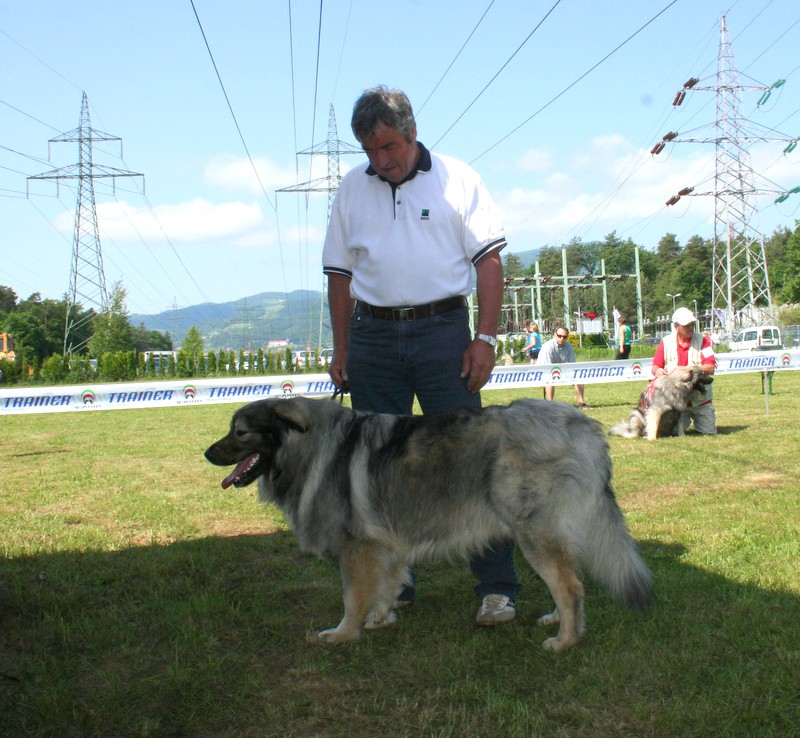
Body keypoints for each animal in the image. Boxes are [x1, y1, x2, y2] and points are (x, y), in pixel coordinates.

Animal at [203, 396, 652, 648]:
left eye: (240, 433)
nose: (207, 453)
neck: (309, 445)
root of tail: (583, 428)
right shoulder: (384, 548)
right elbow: (385, 587)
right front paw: (380, 618)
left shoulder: (357, 549)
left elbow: (351, 598)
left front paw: (344, 634)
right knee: (568, 582)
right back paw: (560, 620)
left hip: (534, 533)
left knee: (570, 585)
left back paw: (565, 641)